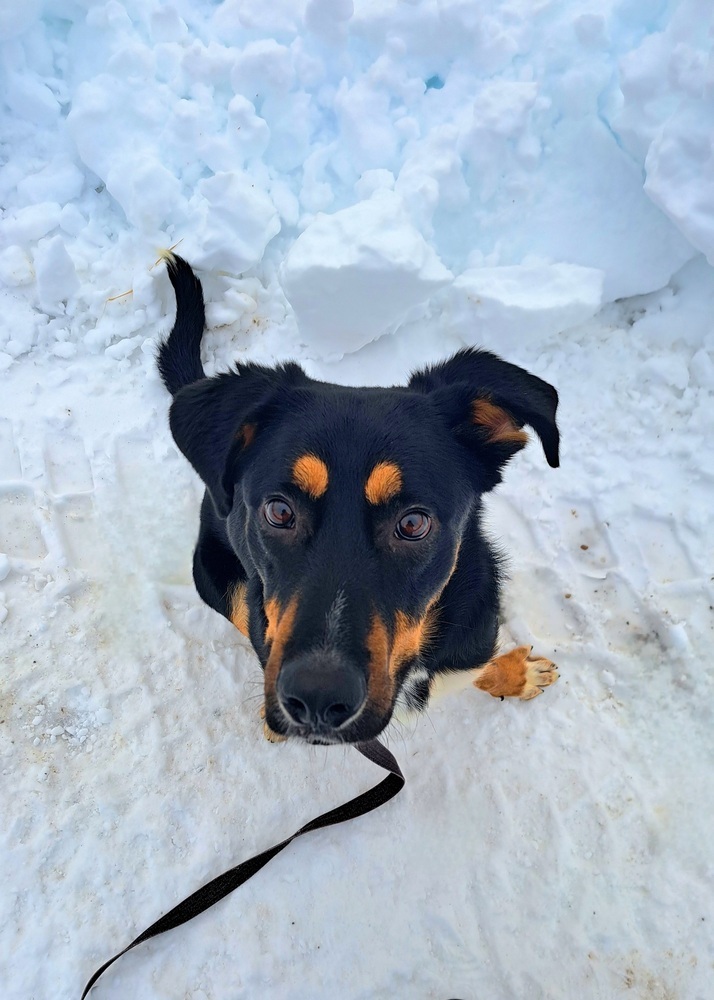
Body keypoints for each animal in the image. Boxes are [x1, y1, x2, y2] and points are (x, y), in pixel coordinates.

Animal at [159, 254, 560, 748]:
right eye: (279, 511)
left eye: (413, 523)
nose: (316, 699)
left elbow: (473, 666)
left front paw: (514, 674)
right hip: (214, 574)